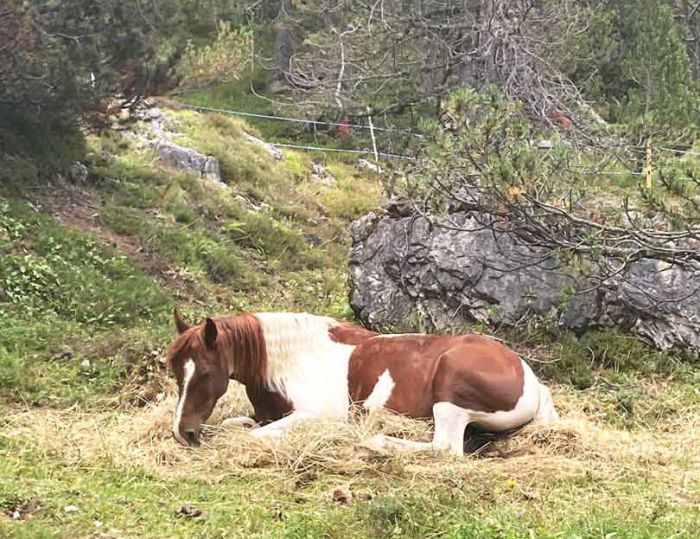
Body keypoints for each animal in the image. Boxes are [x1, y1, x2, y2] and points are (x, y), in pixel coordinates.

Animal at [164, 310, 556, 454]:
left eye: (206, 373)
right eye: (176, 371)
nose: (184, 433)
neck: (294, 360)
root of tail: (529, 378)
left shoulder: (313, 416)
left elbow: (254, 435)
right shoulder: (264, 415)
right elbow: (237, 424)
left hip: (449, 390)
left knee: (444, 447)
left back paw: (378, 441)